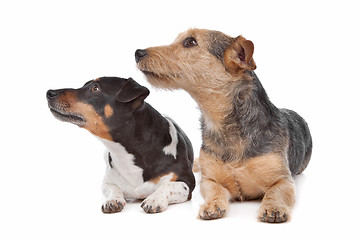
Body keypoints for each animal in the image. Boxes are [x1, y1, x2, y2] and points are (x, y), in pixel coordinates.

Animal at [47, 77, 195, 214]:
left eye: (95, 88)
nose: (49, 92)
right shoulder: (108, 182)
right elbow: (114, 188)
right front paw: (113, 200)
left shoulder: (187, 181)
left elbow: (167, 187)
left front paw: (155, 199)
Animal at [135, 28, 312, 223]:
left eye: (190, 42)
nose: (138, 53)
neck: (223, 125)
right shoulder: (210, 180)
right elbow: (215, 191)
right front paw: (212, 205)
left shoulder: (283, 180)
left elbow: (276, 192)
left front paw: (273, 208)